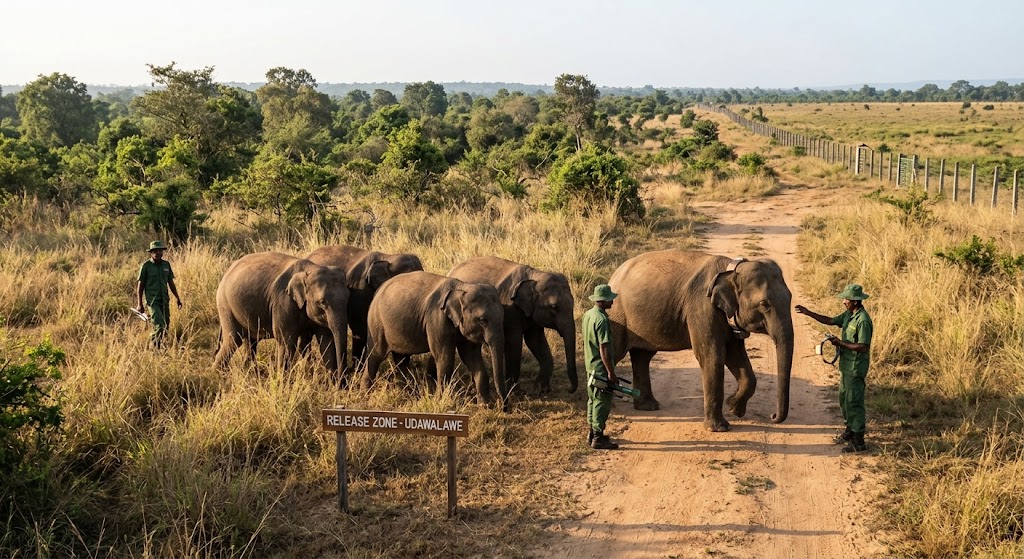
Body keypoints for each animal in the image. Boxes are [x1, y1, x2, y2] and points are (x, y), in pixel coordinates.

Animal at [214, 252, 350, 372]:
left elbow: (326, 342)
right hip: (225, 305)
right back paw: (217, 373)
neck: (309, 269)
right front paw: (282, 381)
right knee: (234, 340)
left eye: (348, 298)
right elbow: (287, 342)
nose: (342, 381)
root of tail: (227, 271)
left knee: (251, 341)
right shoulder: (283, 302)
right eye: (322, 302)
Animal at [363, 271, 508, 410]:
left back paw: (406, 392)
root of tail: (378, 290)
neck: (462, 286)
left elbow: (472, 358)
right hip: (376, 323)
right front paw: (439, 400)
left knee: (402, 359)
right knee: (375, 356)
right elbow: (445, 358)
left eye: (503, 317)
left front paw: (485, 406)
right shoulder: (436, 319)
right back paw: (366, 394)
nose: (503, 407)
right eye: (483, 320)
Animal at [448, 256, 578, 395]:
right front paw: (517, 393)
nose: (569, 390)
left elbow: (535, 341)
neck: (535, 275)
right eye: (554, 307)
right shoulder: (511, 310)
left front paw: (542, 390)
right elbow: (514, 343)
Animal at [607, 250, 794, 432]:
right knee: (616, 352)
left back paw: (648, 406)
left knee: (642, 356)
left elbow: (736, 355)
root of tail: (613, 276)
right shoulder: (702, 307)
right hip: (616, 315)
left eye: (790, 298)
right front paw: (719, 428)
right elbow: (711, 356)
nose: (772, 416)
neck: (731, 268)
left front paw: (734, 408)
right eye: (764, 304)